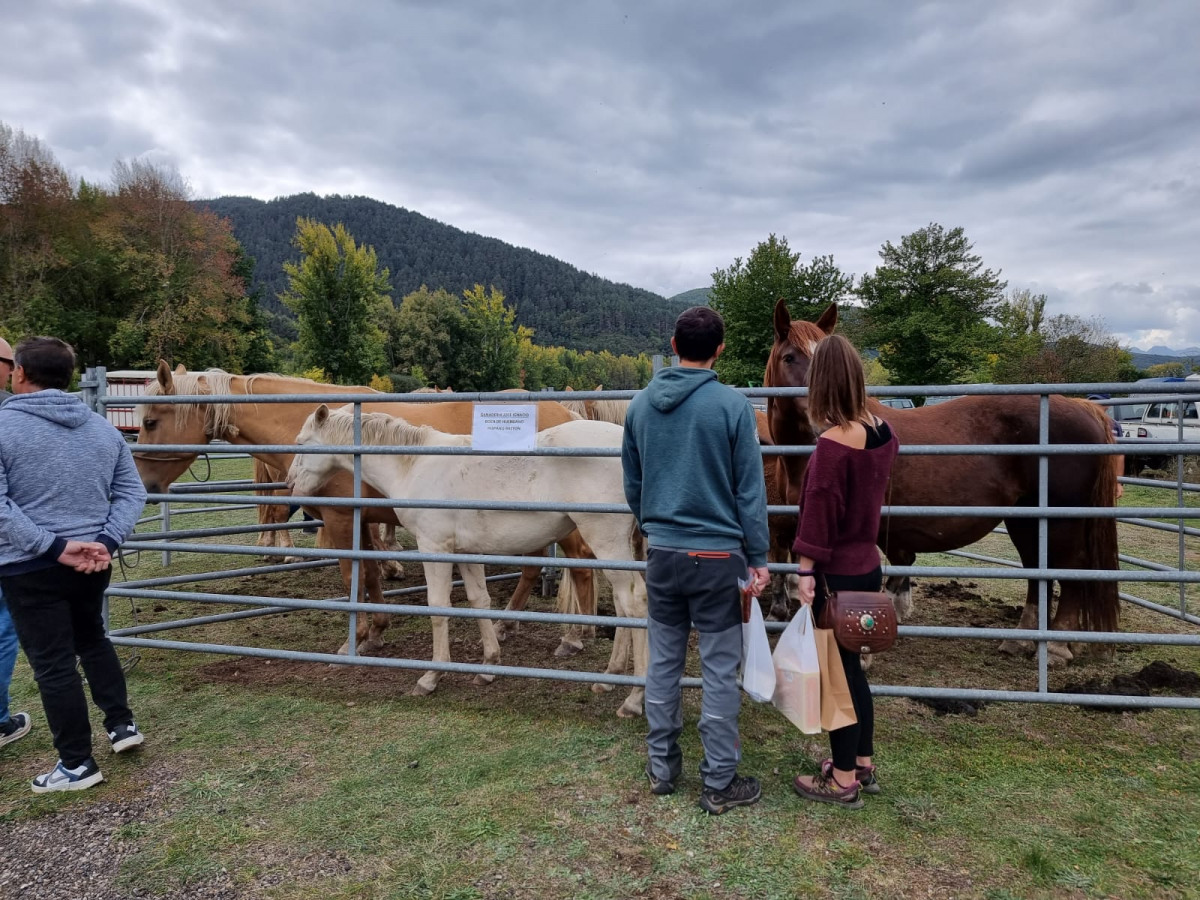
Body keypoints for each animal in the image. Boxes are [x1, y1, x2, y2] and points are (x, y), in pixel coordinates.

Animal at [132, 362, 595, 657]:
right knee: (539, 568)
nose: (145, 486)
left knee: (580, 565)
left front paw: (357, 637)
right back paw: (510, 623)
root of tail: (567, 411)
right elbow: (370, 574)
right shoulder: (365, 521)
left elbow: (350, 577)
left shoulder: (341, 520)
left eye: (151, 422)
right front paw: (376, 631)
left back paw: (573, 637)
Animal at [286, 408, 652, 720]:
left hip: (605, 540)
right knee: (623, 605)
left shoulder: (434, 547)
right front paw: (488, 666)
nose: (290, 485)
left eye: (302, 444)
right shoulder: (464, 552)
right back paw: (609, 677)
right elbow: (479, 602)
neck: (415, 465)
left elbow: (438, 607)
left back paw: (633, 700)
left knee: (634, 604)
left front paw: (431, 677)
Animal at [763, 300, 1118, 667]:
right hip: (1027, 518)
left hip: (1062, 520)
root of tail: (1083, 406)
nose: (829, 418)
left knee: (1071, 568)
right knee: (1038, 568)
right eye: (790, 357)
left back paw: (1057, 647)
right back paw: (1022, 640)